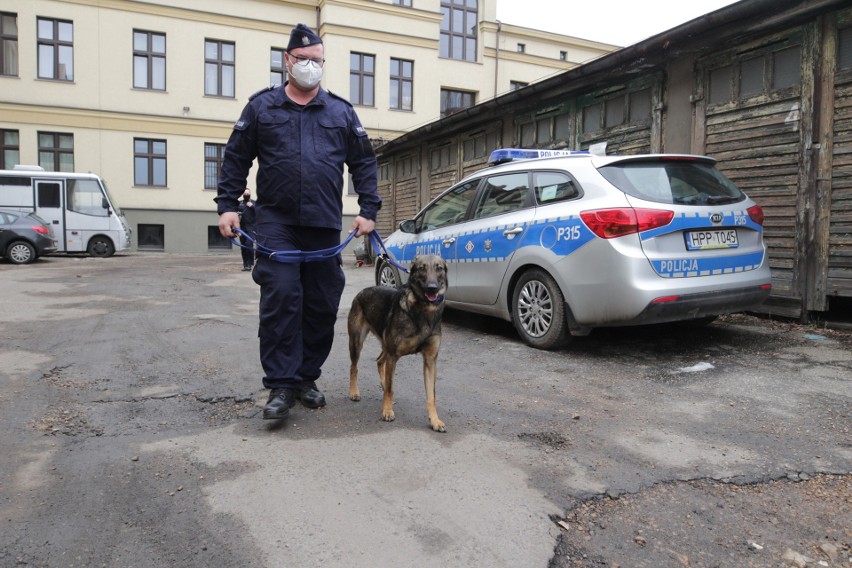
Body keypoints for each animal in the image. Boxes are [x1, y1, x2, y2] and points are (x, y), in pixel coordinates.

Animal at [350, 255, 450, 432]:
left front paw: (434, 420)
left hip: (385, 346)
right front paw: (387, 410)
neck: (423, 310)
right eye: (422, 268)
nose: (432, 288)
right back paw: (354, 392)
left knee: (379, 361)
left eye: (439, 268)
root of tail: (361, 292)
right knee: (354, 367)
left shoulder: (430, 361)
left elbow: (431, 395)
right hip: (357, 343)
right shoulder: (393, 356)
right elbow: (390, 389)